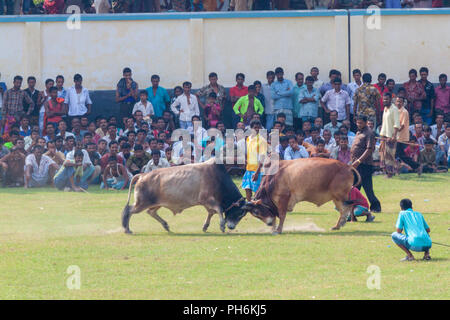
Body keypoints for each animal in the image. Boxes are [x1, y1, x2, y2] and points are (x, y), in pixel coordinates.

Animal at [225, 158, 362, 235]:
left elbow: (281, 215)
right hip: (336, 198)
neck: (273, 179)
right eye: (255, 215)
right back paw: (338, 225)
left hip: (339, 195)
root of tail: (347, 167)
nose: (268, 224)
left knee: (348, 206)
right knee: (344, 209)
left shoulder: (283, 199)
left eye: (257, 212)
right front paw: (273, 228)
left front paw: (278, 230)